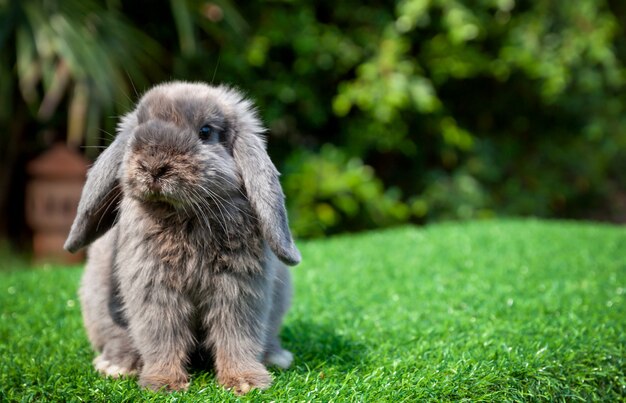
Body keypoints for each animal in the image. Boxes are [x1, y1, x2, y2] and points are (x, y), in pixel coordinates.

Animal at [63, 81, 300, 394]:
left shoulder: (238, 290)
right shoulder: (155, 288)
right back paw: (116, 366)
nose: (153, 166)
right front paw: (164, 384)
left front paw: (245, 382)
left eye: (205, 132)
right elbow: (163, 335)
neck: (185, 215)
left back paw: (276, 357)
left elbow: (237, 336)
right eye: (139, 126)